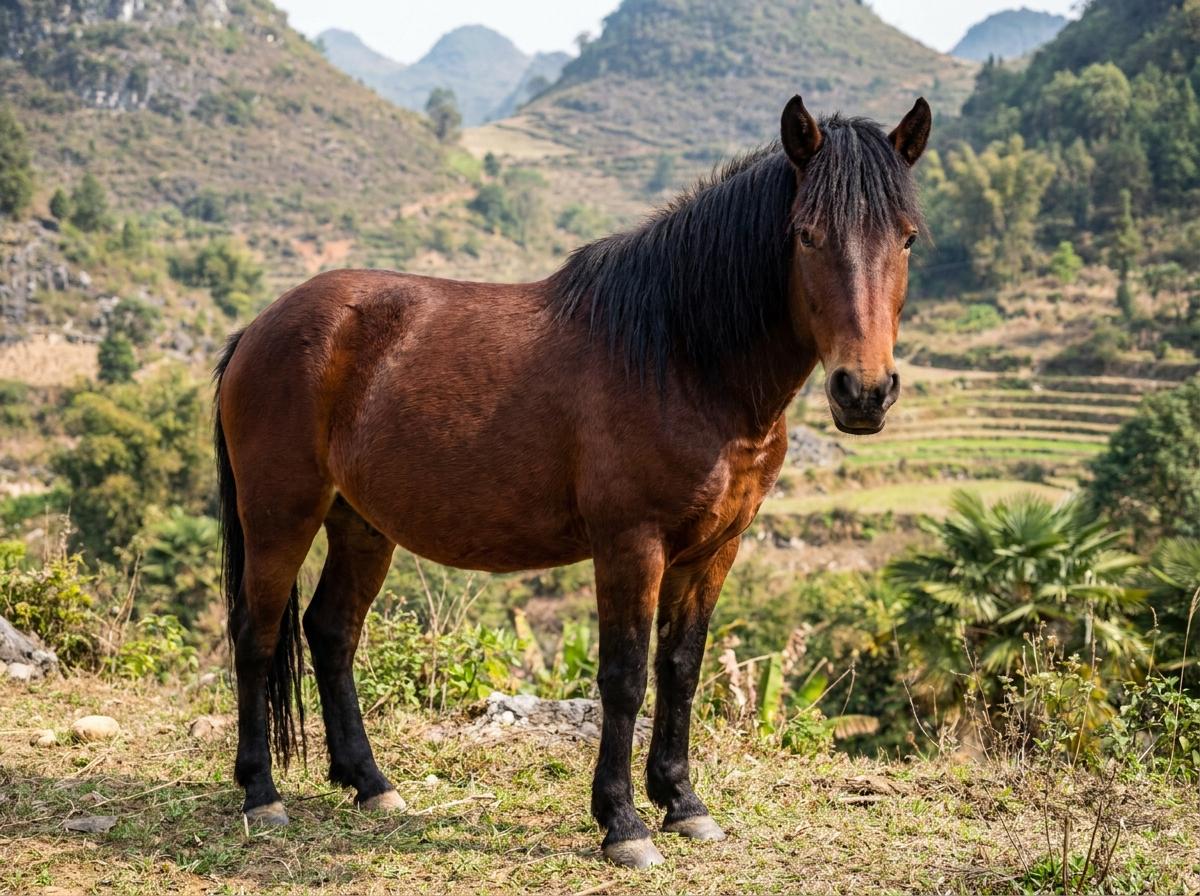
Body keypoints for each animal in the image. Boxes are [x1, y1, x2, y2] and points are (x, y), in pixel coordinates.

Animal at [213, 94, 931, 868]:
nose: (865, 392)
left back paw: (371, 783)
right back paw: (262, 795)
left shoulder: (716, 549)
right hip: (280, 513)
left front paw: (683, 803)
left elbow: (681, 667)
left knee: (331, 631)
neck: (681, 357)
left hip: (362, 524)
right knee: (255, 633)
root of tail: (258, 327)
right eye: (806, 235)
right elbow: (624, 677)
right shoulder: (630, 545)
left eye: (907, 240)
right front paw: (622, 822)